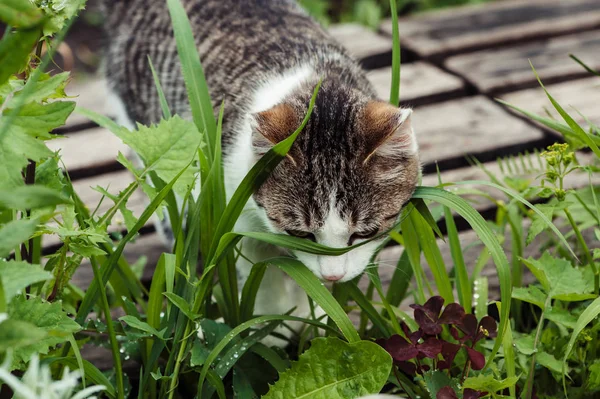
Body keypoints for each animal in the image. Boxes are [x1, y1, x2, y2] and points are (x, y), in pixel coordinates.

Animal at [101, 0, 420, 340]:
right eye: (300, 234)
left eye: (365, 233)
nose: (334, 276)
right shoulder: (237, 216)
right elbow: (262, 275)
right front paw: (271, 330)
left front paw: (316, 313)